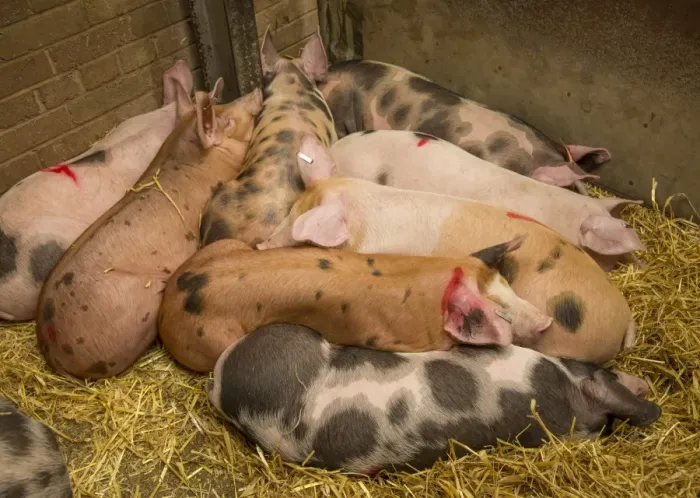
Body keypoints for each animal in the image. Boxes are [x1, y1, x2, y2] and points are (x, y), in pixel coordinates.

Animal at [157, 239, 552, 373]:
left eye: (509, 287)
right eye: (500, 311)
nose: (547, 321)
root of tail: (167, 308)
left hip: (225, 244)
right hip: (211, 339)